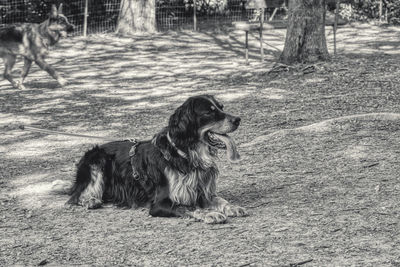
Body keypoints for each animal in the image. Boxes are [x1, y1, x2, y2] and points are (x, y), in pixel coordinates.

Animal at [53, 95, 247, 225]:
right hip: (96, 159)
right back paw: (91, 200)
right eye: (209, 112)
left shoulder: (202, 192)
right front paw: (209, 214)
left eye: (221, 107)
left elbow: (220, 200)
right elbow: (188, 207)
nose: (238, 119)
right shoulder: (160, 204)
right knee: (75, 196)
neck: (184, 154)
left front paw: (232, 207)